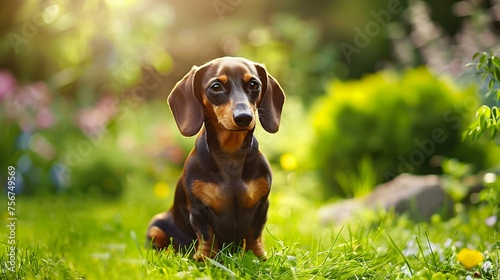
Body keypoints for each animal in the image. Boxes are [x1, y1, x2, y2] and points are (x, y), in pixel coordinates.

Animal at [146, 57, 286, 260]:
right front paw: (205, 259)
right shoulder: (198, 209)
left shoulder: (262, 206)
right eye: (216, 86)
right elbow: (206, 235)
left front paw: (257, 257)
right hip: (156, 225)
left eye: (254, 84)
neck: (231, 154)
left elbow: (255, 234)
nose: (244, 117)